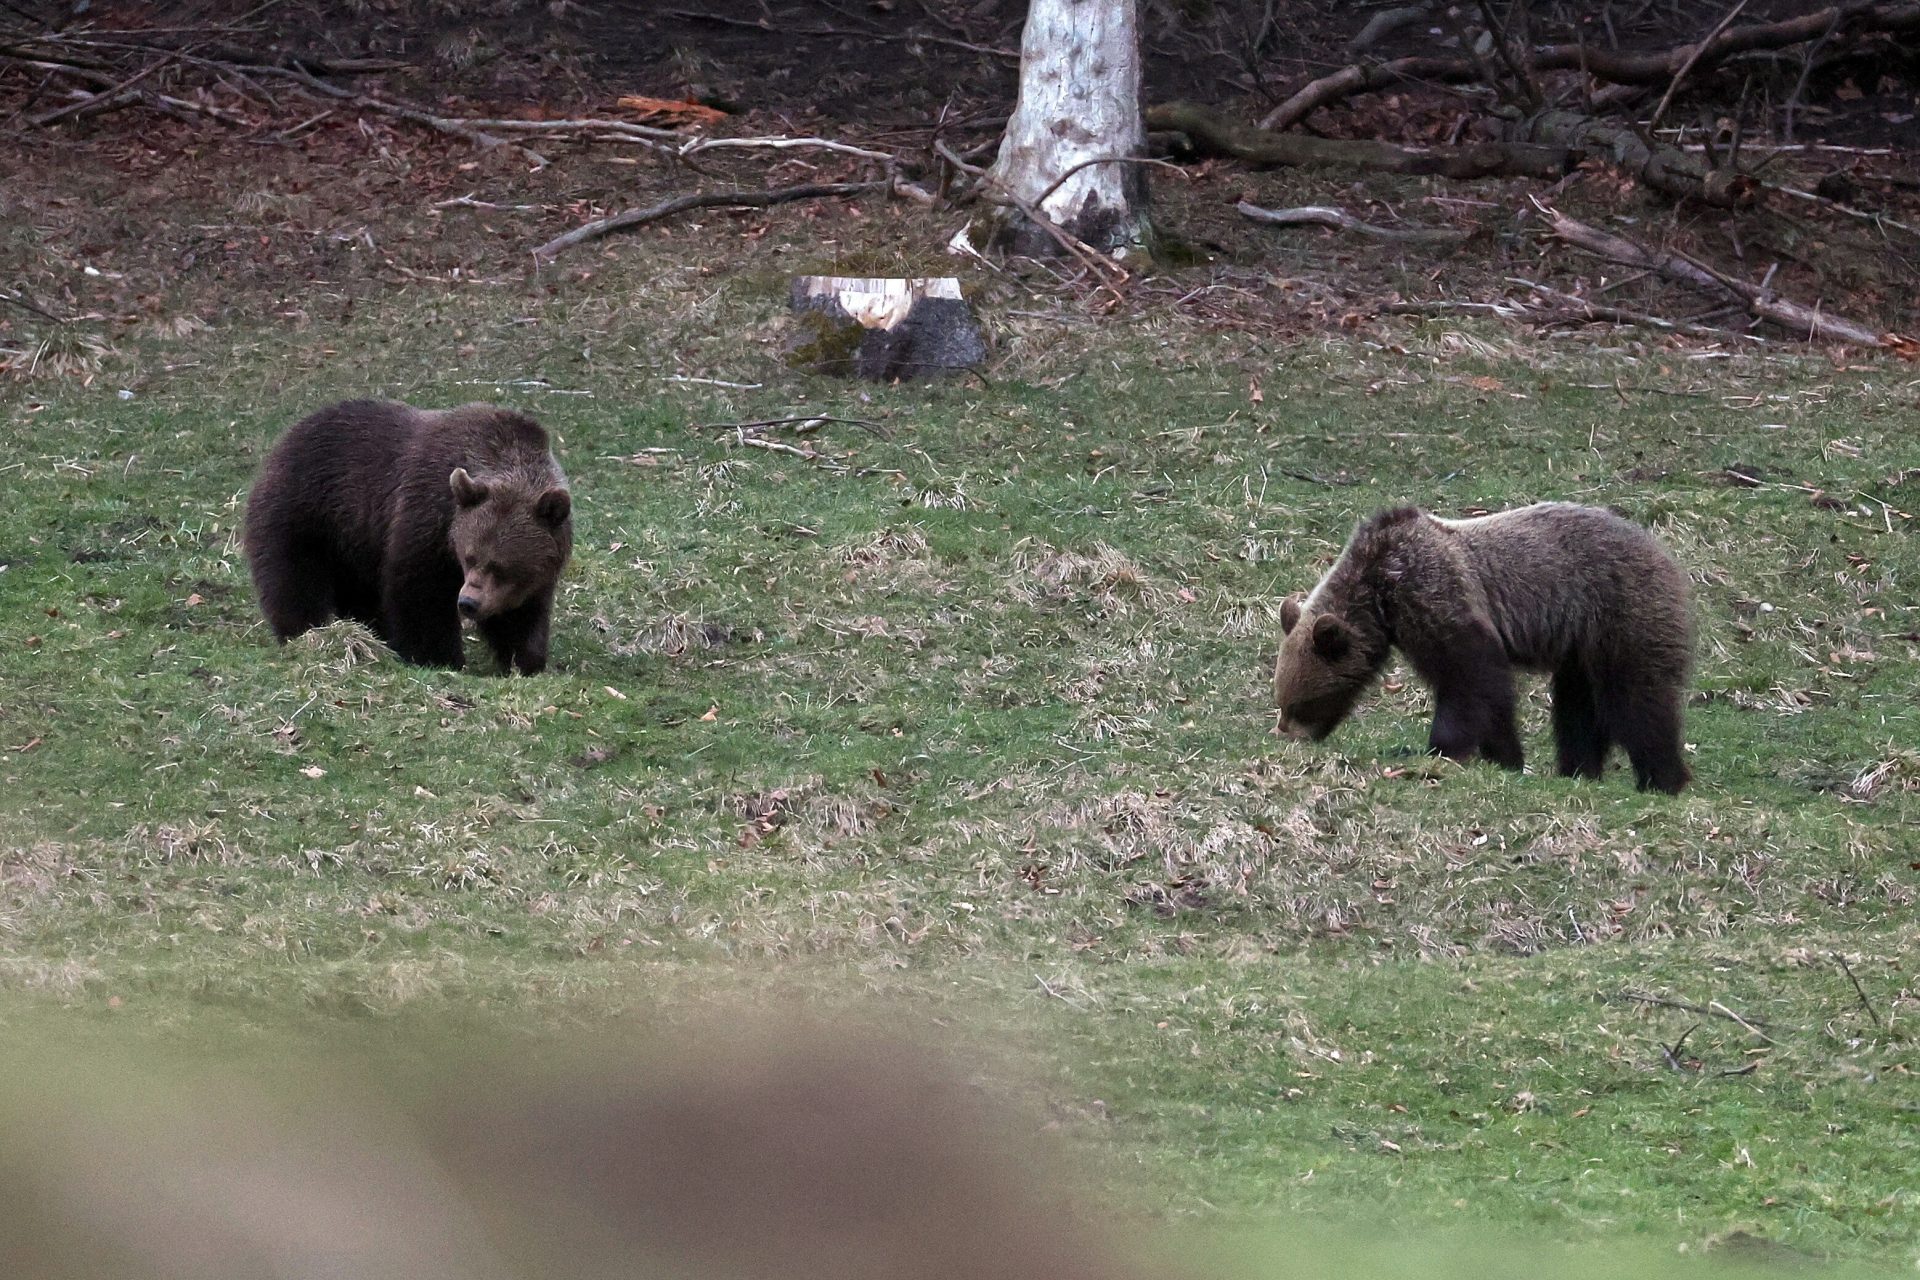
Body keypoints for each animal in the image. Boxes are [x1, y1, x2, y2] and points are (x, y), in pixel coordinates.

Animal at [244, 399, 572, 674]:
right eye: (470, 557)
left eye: (501, 566)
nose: (468, 602)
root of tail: (287, 437)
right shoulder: (425, 517)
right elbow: (420, 594)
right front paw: (439, 656)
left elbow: (522, 615)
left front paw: (524, 659)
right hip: (306, 510)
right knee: (294, 577)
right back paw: (306, 630)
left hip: (354, 544)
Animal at [1272, 502, 1693, 793]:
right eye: (1283, 702)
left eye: (1301, 704)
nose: (1286, 735)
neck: (1378, 594)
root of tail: (1663, 551)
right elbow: (1491, 697)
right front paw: (1506, 756)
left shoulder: (1434, 593)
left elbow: (1470, 677)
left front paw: (1443, 749)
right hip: (1580, 647)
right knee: (1578, 708)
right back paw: (1577, 770)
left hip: (1620, 612)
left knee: (1638, 701)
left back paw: (1663, 779)